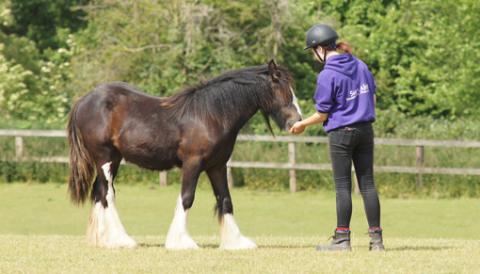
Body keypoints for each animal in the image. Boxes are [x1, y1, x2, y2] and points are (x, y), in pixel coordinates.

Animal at [66, 60, 302, 250]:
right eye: (282, 89)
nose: (297, 122)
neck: (212, 115)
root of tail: (84, 100)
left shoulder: (217, 166)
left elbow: (225, 199)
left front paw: (236, 242)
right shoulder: (192, 163)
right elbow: (187, 198)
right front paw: (181, 242)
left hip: (113, 159)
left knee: (99, 192)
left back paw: (104, 240)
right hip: (104, 157)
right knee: (108, 193)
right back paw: (122, 239)